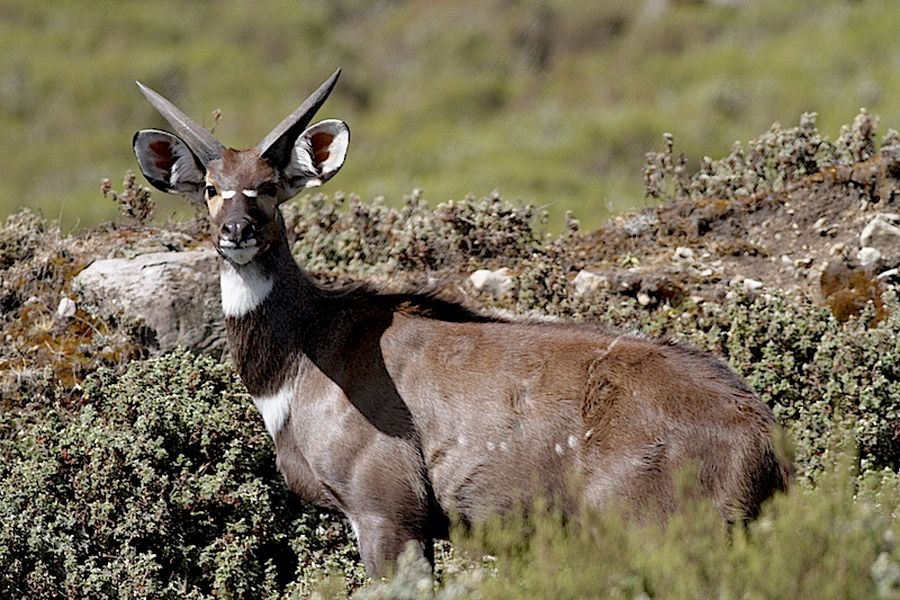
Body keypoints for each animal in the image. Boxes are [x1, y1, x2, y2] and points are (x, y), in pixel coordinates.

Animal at [130, 70, 792, 576]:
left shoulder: (387, 511)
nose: (236, 231)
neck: (302, 365)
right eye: (210, 188)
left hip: (656, 526)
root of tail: (766, 442)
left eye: (268, 186)